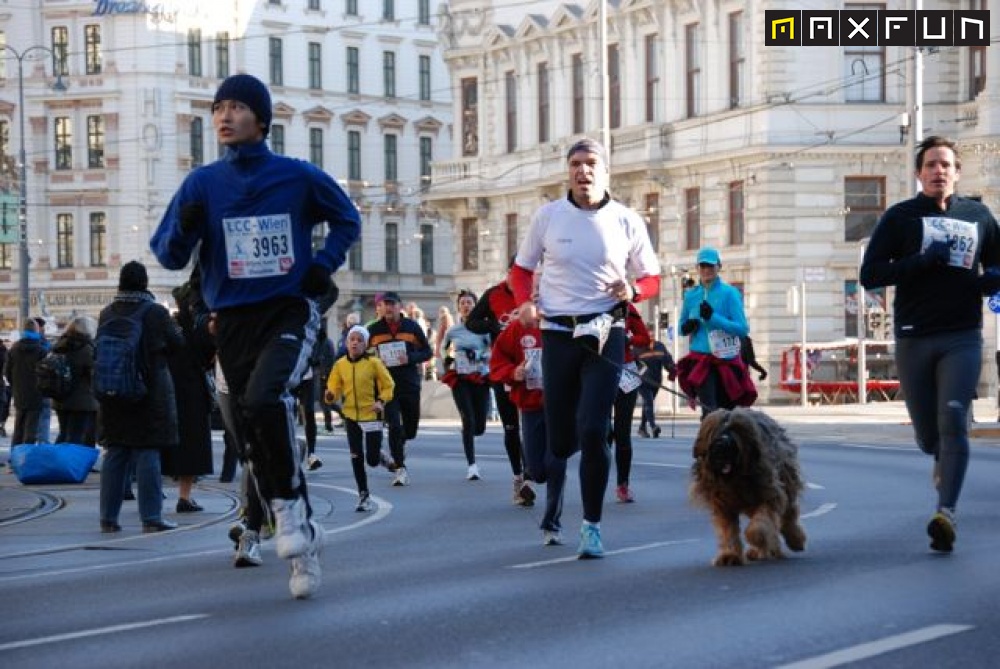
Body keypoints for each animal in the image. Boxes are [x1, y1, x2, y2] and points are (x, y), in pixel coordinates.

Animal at [692, 408, 808, 564]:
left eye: (735, 428)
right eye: (716, 429)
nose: (721, 445)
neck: (734, 478)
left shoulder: (769, 493)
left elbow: (762, 522)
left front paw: (756, 537)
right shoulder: (723, 505)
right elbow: (727, 529)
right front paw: (729, 554)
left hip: (786, 480)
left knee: (789, 513)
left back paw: (794, 540)